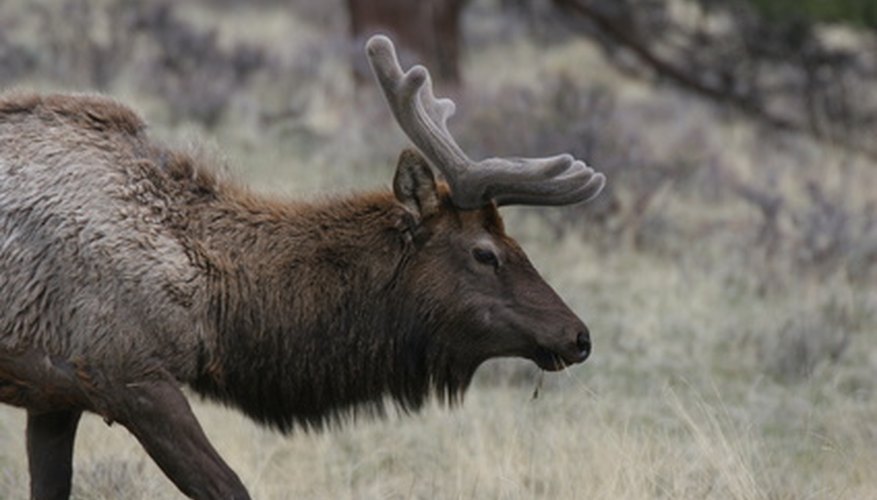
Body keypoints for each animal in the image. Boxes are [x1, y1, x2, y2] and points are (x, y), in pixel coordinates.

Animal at [0, 36, 604, 500]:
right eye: (484, 252)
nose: (577, 336)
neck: (216, 303)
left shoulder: (56, 398)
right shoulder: (128, 372)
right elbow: (230, 487)